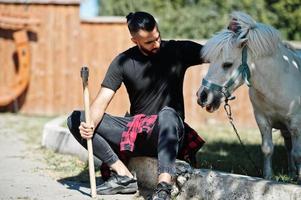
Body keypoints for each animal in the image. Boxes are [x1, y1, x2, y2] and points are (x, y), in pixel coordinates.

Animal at [196, 11, 300, 183]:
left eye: (227, 64)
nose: (202, 96)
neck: (277, 82)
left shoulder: (296, 123)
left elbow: (298, 154)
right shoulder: (262, 119)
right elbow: (267, 149)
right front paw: (268, 177)